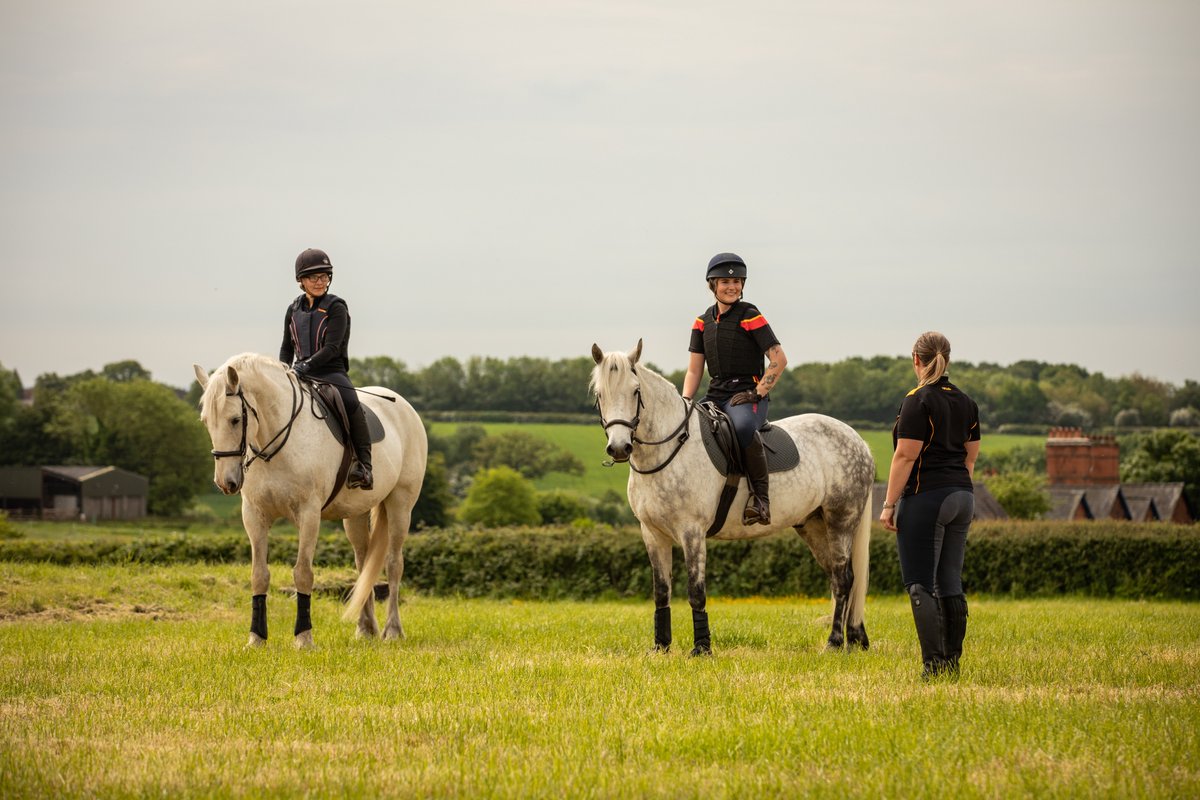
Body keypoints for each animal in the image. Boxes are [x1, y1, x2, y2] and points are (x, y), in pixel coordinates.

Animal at [192, 352, 427, 647]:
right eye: (206, 421)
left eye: (235, 419)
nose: (226, 482)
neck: (276, 445)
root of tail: (405, 407)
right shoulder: (255, 515)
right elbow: (259, 575)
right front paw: (256, 638)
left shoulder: (308, 514)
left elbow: (302, 573)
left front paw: (303, 638)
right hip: (356, 513)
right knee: (363, 564)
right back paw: (365, 629)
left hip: (400, 504)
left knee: (394, 563)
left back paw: (392, 631)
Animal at [590, 340, 873, 652]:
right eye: (600, 394)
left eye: (635, 391)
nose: (619, 448)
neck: (668, 450)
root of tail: (857, 440)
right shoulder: (652, 533)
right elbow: (661, 591)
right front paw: (660, 648)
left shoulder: (692, 532)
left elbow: (695, 591)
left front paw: (702, 648)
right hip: (813, 525)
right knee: (839, 577)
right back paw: (856, 639)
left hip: (841, 520)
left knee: (843, 578)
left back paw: (835, 642)